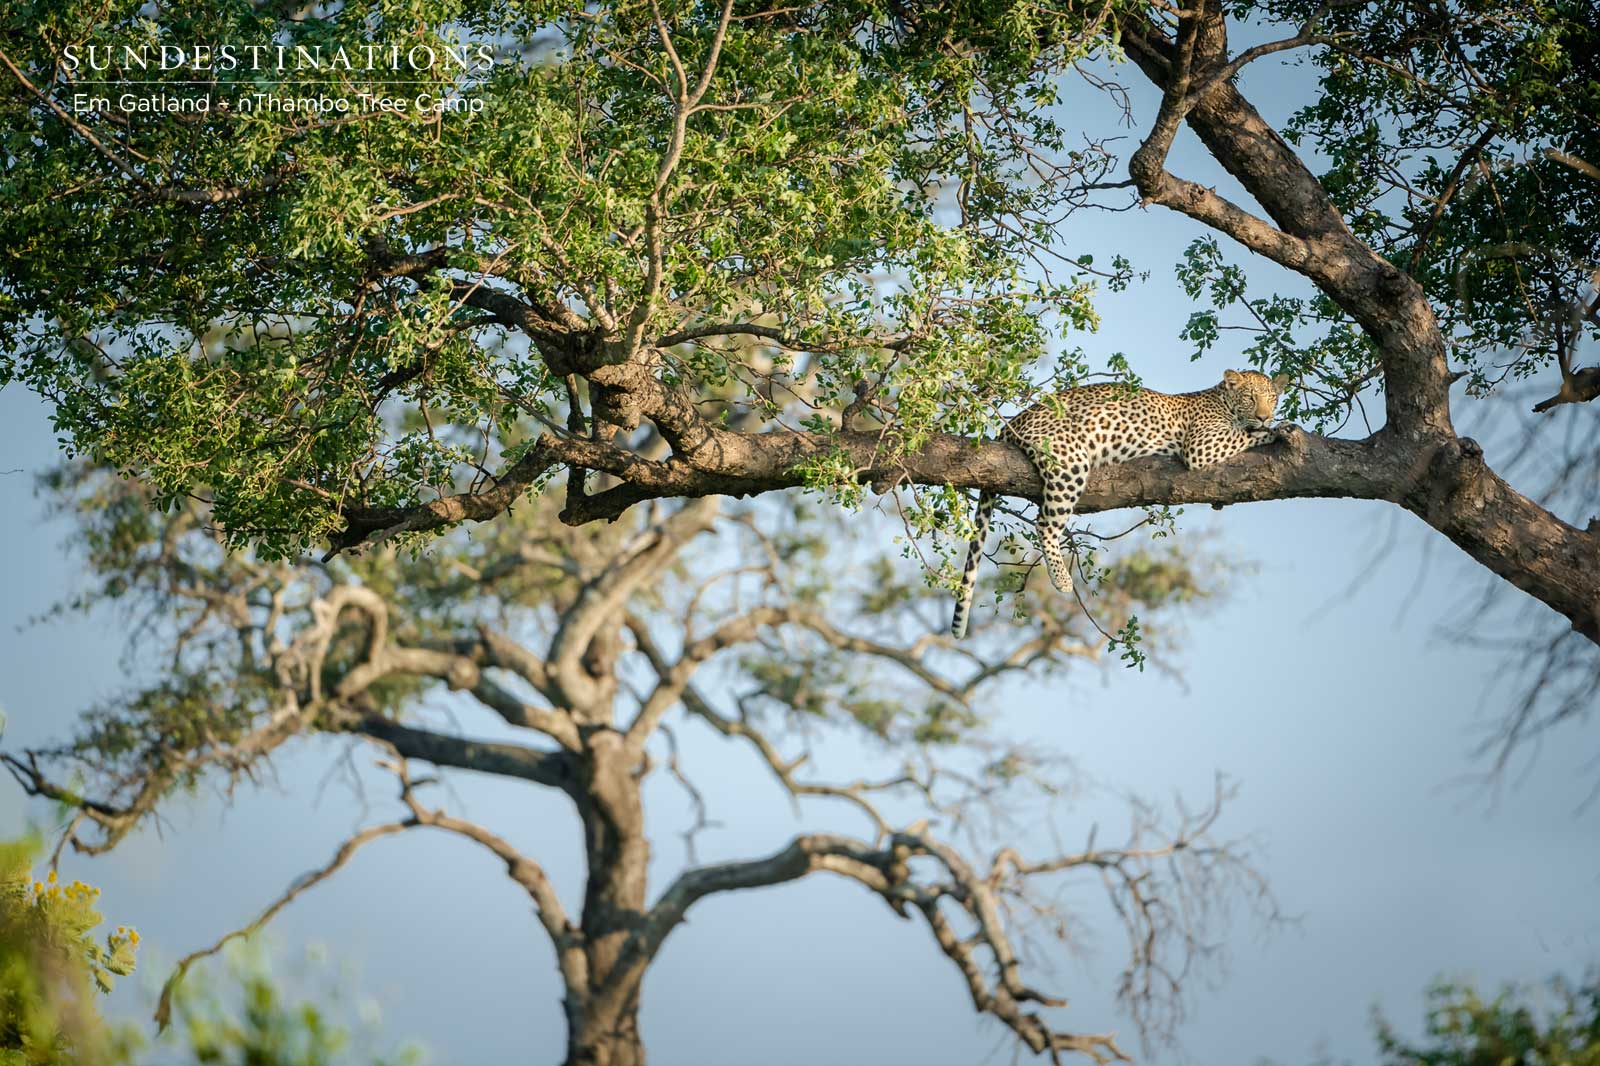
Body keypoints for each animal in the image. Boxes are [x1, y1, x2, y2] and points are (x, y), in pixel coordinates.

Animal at [940, 369, 1292, 633]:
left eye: (1271, 398)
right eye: (1250, 397)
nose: (1264, 415)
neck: (1222, 400)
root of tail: (1012, 422)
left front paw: (1276, 424)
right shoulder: (1201, 445)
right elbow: (1245, 434)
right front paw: (1278, 428)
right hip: (1069, 462)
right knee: (1045, 524)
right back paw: (1062, 580)